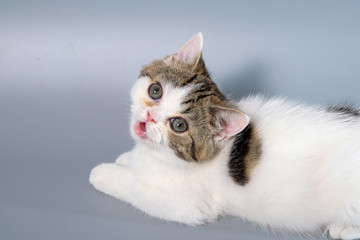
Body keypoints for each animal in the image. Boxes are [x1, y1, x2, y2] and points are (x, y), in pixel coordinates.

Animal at [89, 32, 360, 239]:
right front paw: (127, 159)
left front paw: (103, 173)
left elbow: (133, 186)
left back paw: (342, 229)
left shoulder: (190, 204)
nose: (150, 115)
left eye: (178, 125)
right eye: (155, 91)